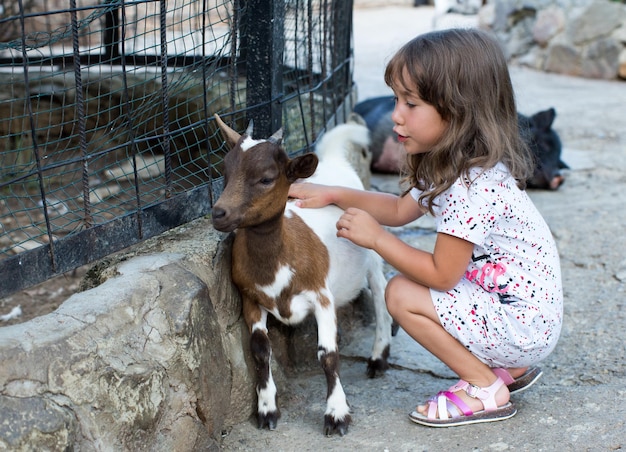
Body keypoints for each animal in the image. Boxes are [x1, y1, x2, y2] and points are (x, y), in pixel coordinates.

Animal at [212, 115, 392, 436]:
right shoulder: (250, 298)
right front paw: (267, 410)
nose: (219, 213)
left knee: (380, 290)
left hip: (371, 249)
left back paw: (378, 357)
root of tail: (331, 161)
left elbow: (327, 354)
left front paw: (337, 415)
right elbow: (260, 350)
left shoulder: (321, 296)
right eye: (225, 171)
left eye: (266, 178)